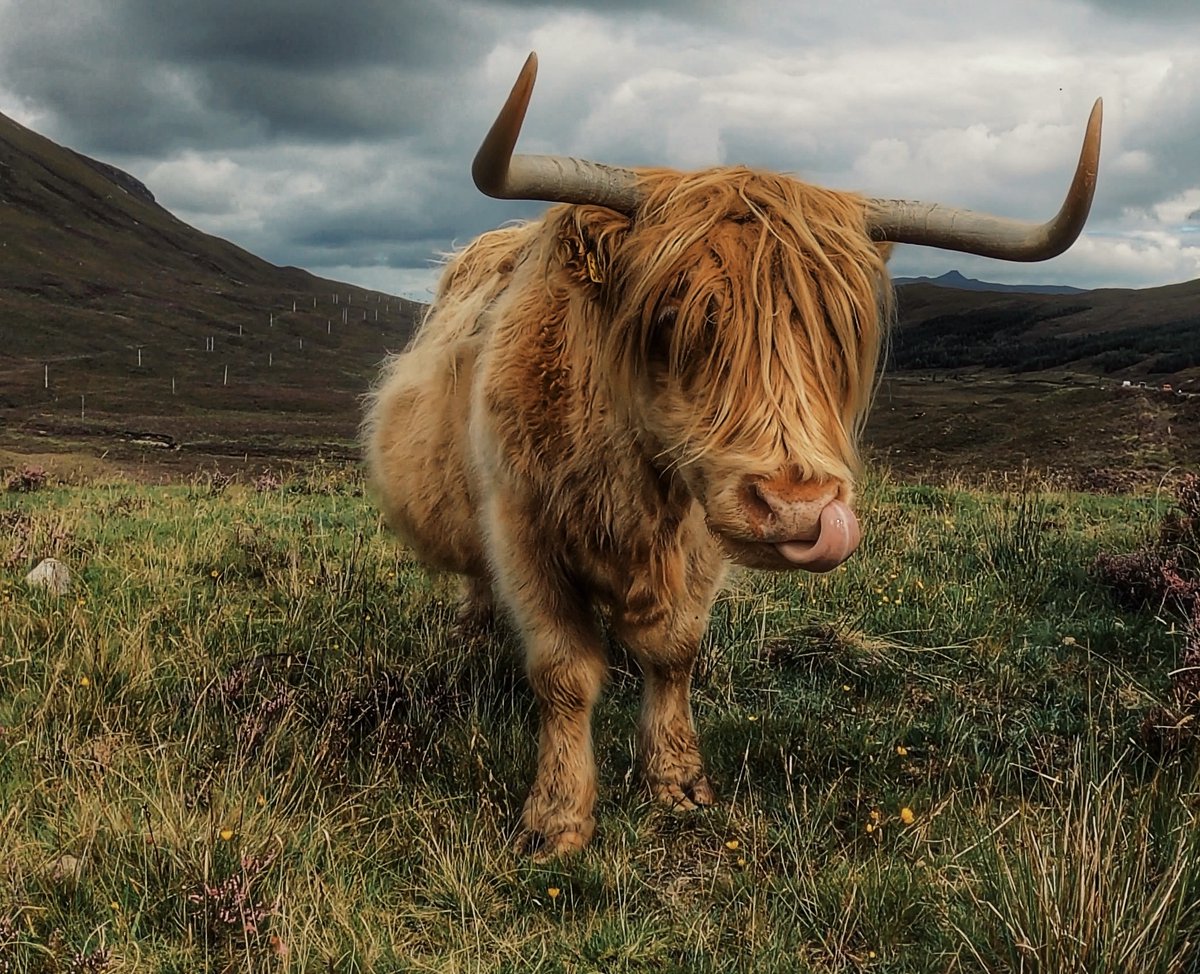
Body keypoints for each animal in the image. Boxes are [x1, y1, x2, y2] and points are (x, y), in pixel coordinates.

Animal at [364, 53, 1104, 854]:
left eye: (836, 329)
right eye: (673, 315)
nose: (800, 510)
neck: (632, 485)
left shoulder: (699, 542)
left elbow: (675, 650)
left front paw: (676, 780)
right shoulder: (522, 528)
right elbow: (563, 670)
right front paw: (558, 818)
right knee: (476, 584)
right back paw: (473, 639)